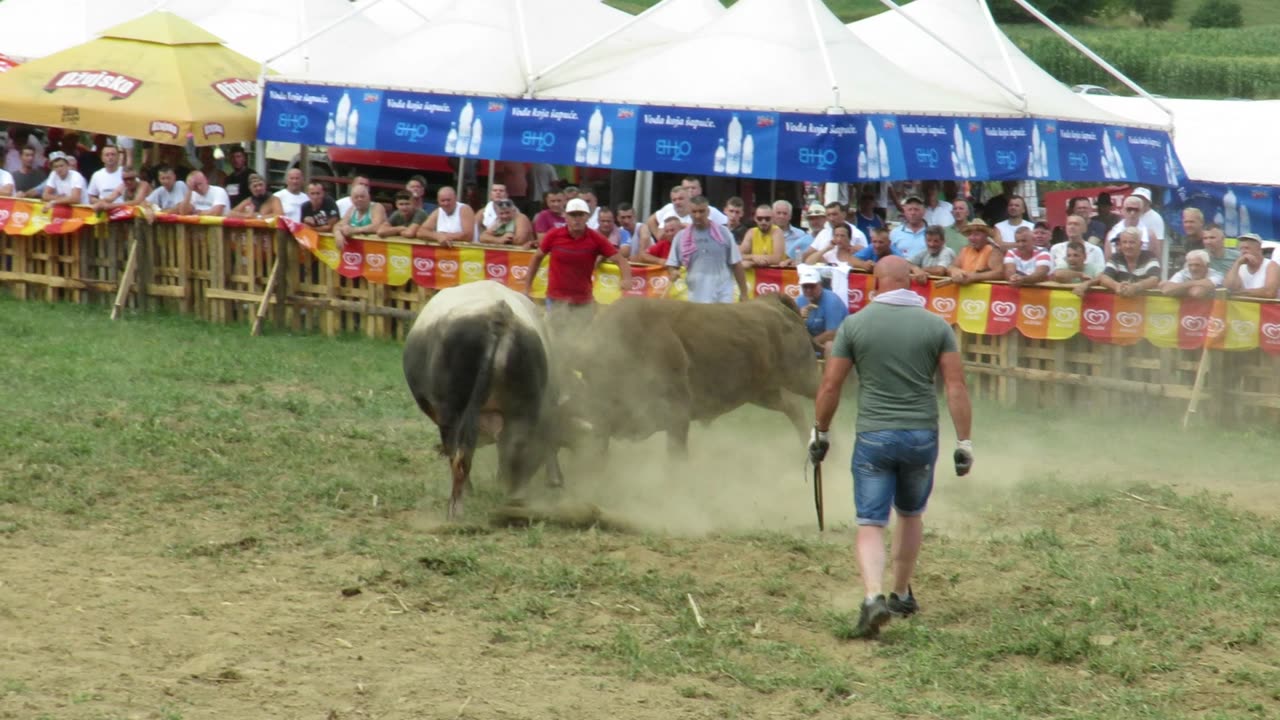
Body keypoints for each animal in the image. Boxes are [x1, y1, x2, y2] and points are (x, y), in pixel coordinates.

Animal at [570, 289, 819, 448]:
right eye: (587, 376)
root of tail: (771, 301)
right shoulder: (603, 427)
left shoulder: (677, 418)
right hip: (763, 392)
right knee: (793, 406)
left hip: (802, 377)